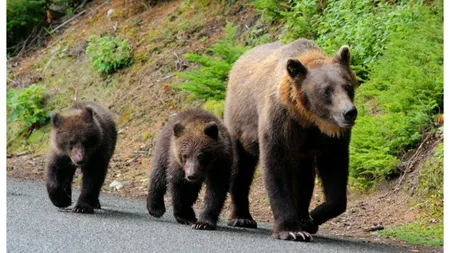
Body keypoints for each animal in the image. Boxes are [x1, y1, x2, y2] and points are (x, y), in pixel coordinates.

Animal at [225, 39, 358, 241]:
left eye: (348, 85)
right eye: (326, 90)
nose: (349, 112)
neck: (307, 118)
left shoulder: (328, 137)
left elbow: (335, 172)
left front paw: (309, 219)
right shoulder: (281, 122)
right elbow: (276, 167)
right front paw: (291, 230)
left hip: (302, 154)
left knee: (304, 176)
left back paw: (302, 215)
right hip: (239, 123)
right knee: (240, 167)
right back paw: (241, 217)